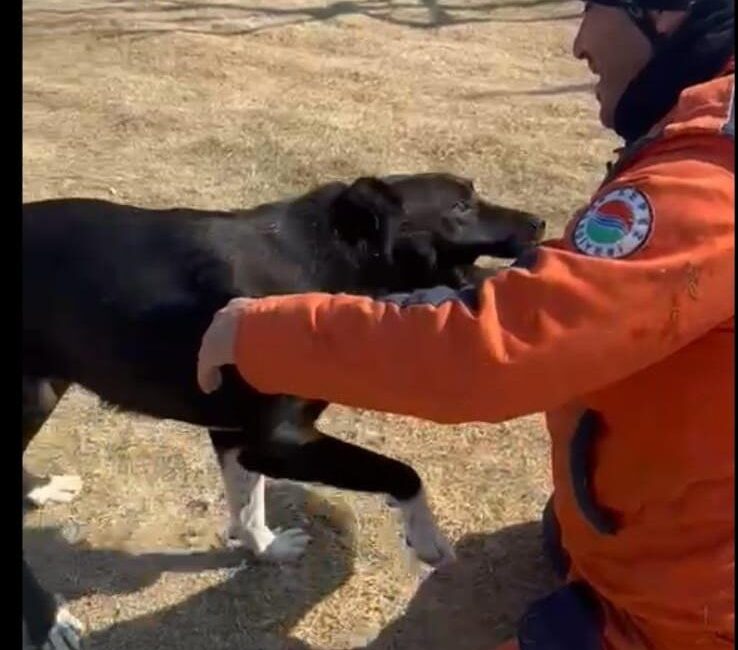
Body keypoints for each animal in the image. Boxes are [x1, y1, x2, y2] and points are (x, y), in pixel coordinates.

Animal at [23, 172, 544, 644]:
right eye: (461, 207)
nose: (540, 221)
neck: (332, 259)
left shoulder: (236, 436)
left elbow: (247, 504)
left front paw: (266, 549)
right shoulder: (278, 441)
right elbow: (401, 472)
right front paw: (427, 537)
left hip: (47, 388)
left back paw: (43, 490)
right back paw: (49, 622)